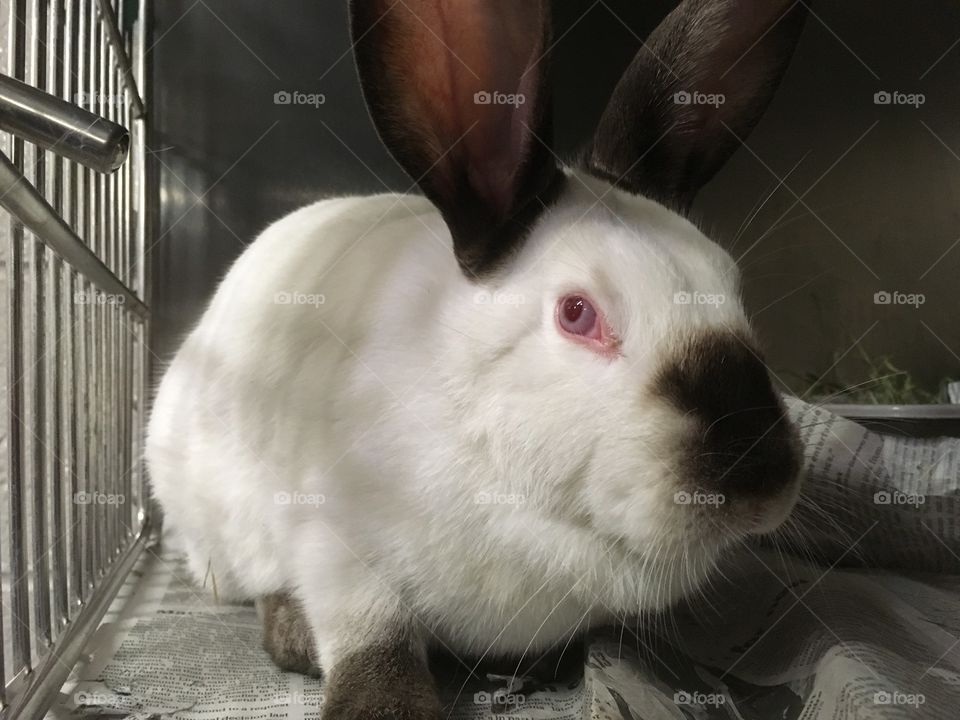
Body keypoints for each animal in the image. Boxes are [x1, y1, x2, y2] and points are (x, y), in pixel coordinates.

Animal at [146, 0, 810, 717]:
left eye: (731, 284)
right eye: (577, 313)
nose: (763, 477)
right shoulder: (339, 554)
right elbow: (372, 643)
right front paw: (380, 704)